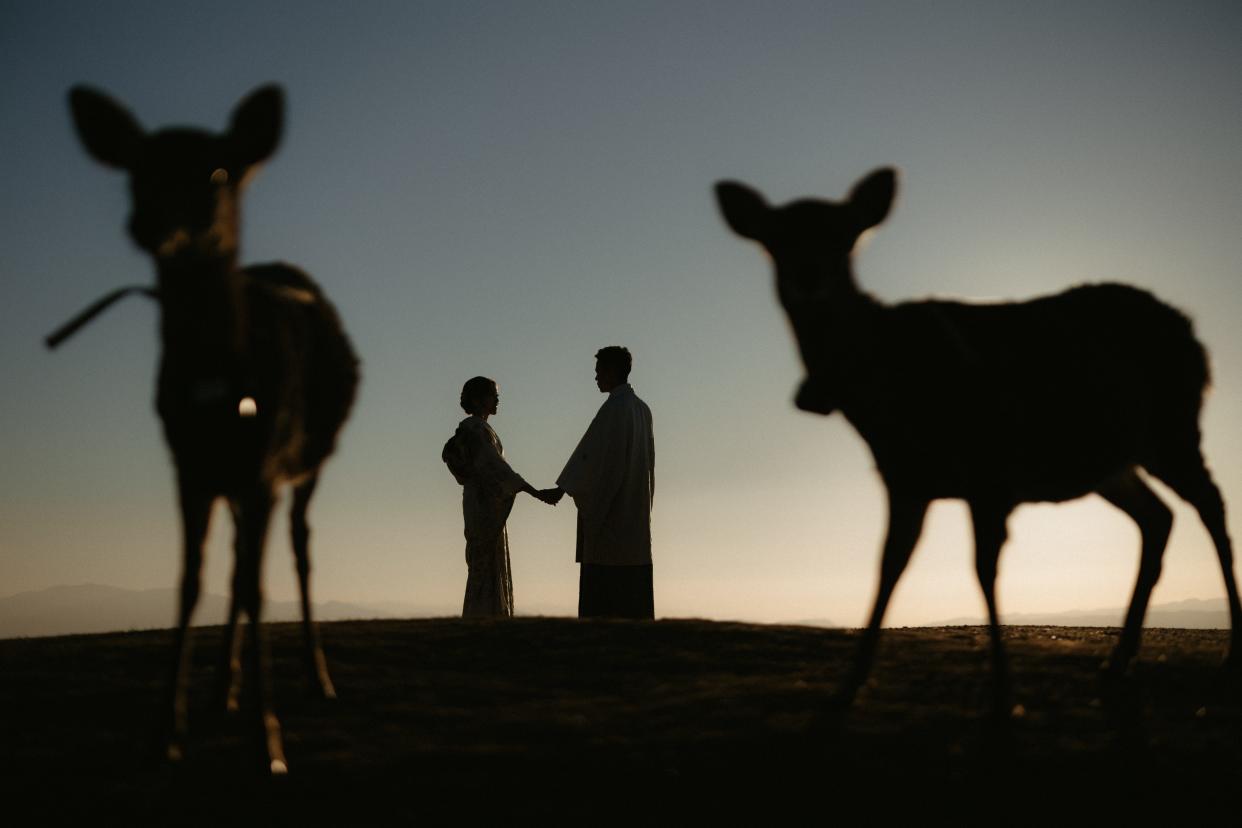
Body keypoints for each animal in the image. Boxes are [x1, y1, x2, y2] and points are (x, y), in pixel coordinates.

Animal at [66, 84, 360, 769]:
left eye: (219, 171)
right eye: (136, 168)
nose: (149, 225)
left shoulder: (264, 468)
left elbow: (256, 586)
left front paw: (268, 739)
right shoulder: (188, 465)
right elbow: (189, 581)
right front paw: (167, 732)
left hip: (306, 465)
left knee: (298, 551)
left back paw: (317, 680)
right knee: (235, 563)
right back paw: (222, 690)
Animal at [720, 166, 1242, 715]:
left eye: (847, 238)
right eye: (773, 241)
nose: (808, 276)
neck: (884, 401)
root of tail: (1195, 335)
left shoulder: (989, 472)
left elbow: (983, 569)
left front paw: (1001, 692)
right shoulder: (905, 479)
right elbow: (888, 567)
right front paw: (846, 689)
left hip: (1173, 427)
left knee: (1211, 505)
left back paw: (1230, 655)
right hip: (1111, 460)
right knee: (1158, 516)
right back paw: (1118, 661)